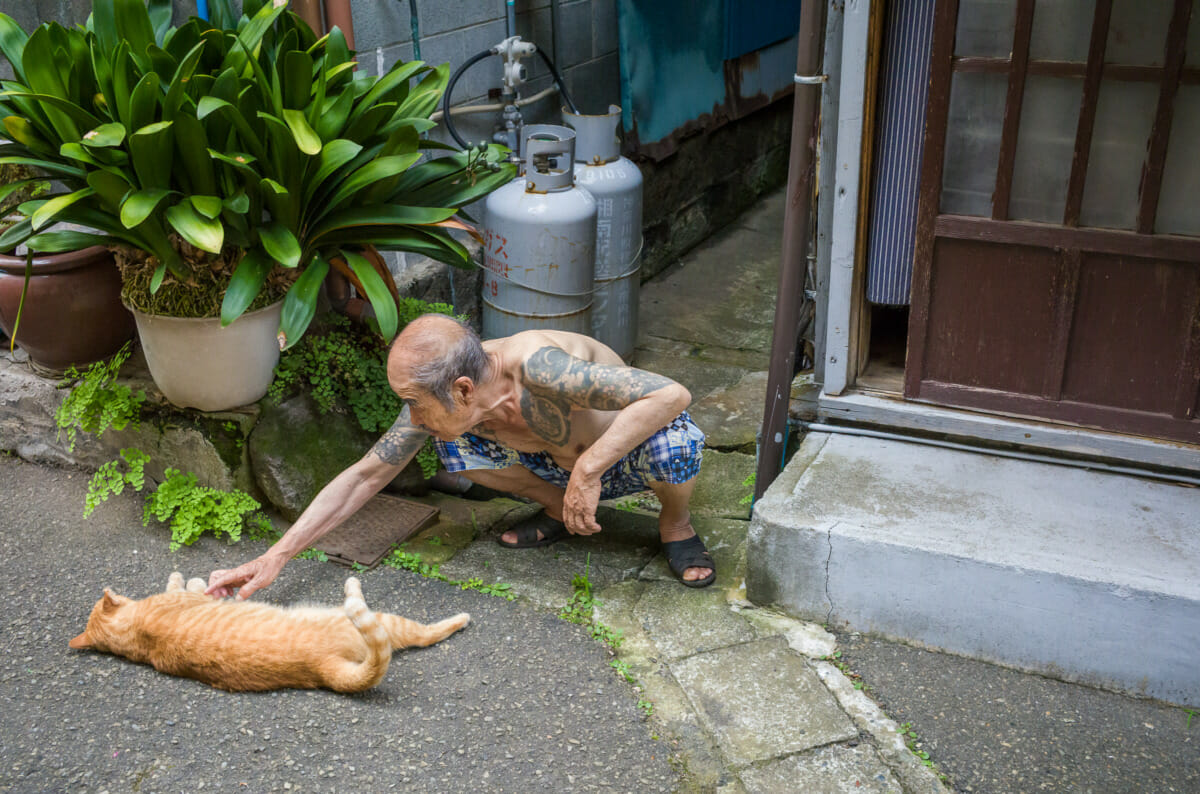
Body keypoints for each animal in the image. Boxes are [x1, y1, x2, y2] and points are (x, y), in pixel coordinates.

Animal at [65, 573, 468, 695]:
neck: (136, 635)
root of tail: (323, 669)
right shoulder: (185, 597)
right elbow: (186, 584)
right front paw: (189, 578)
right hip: (373, 620)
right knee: (422, 633)